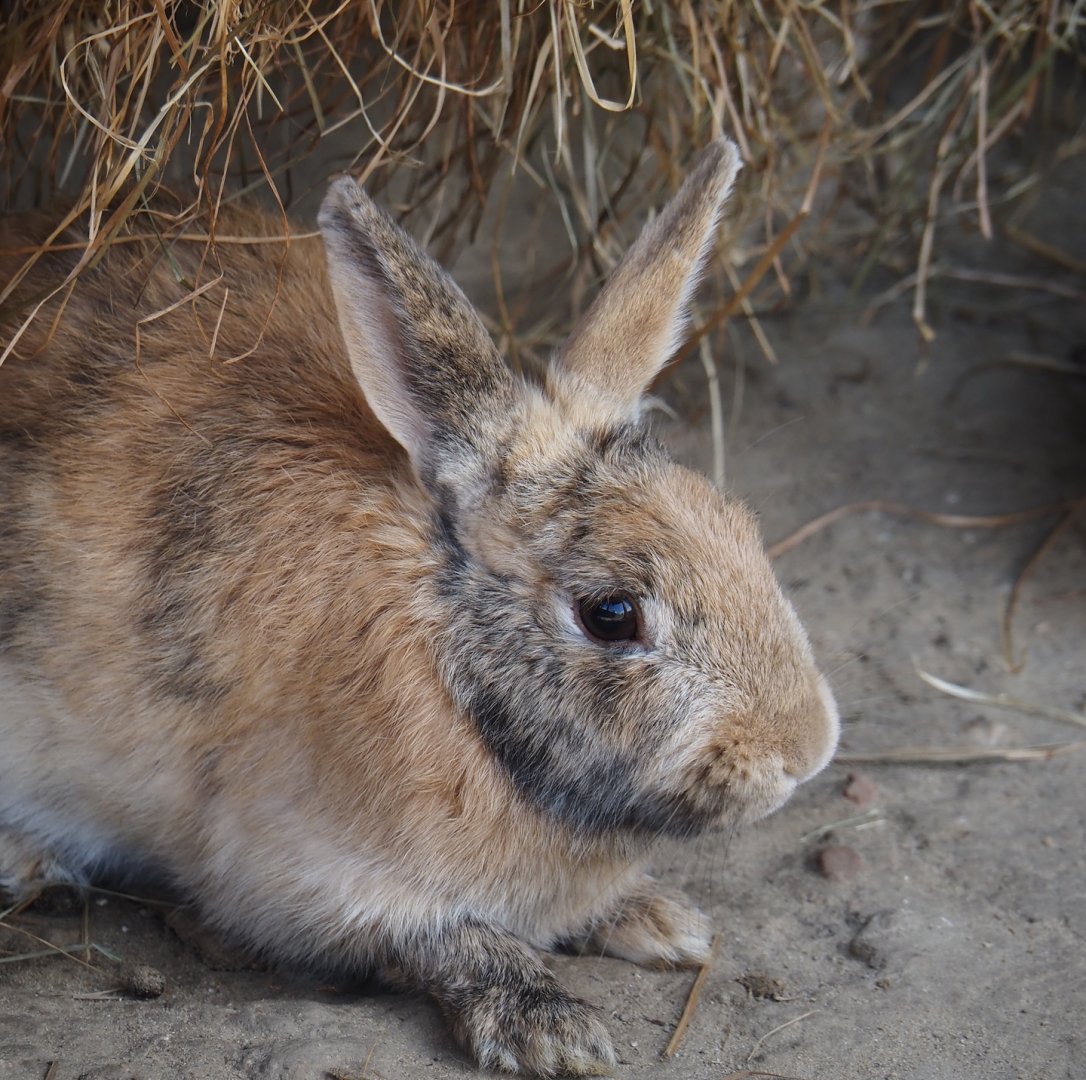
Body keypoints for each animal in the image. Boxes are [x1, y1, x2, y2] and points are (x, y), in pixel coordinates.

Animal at [0, 138, 838, 1077]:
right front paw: (553, 1032)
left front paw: (662, 922)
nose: (807, 750)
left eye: (740, 525)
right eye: (612, 613)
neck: (451, 660)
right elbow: (446, 941)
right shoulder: (297, 874)